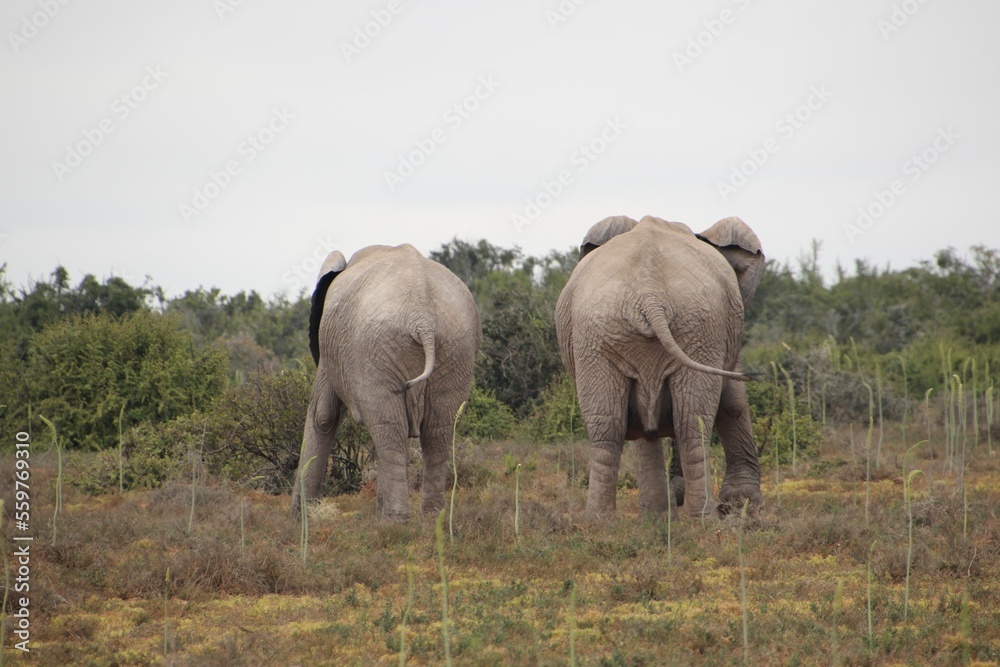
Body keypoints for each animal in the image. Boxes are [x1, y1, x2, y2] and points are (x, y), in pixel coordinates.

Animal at [291, 244, 480, 521]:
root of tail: (423, 317)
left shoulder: (329, 350)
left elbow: (323, 415)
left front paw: (299, 518)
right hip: (456, 348)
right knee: (437, 430)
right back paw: (431, 517)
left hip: (377, 348)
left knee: (390, 428)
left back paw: (393, 522)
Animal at [555, 215, 764, 519]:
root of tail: (649, 293)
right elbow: (732, 400)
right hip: (681, 330)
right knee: (687, 423)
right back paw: (691, 519)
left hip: (637, 333)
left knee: (614, 427)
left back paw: (602, 522)